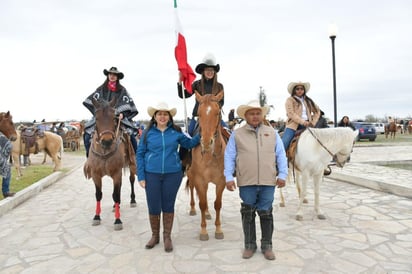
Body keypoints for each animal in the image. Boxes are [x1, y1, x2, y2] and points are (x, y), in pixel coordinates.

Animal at [83, 97, 138, 230]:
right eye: (97, 118)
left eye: (114, 118)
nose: (107, 141)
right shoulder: (96, 175)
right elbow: (99, 194)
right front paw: (96, 217)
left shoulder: (117, 173)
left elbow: (116, 195)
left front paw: (118, 220)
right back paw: (115, 206)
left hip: (132, 165)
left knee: (131, 180)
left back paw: (132, 200)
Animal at [186, 91, 225, 240]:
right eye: (199, 113)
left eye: (218, 112)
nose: (207, 142)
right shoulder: (199, 179)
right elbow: (202, 204)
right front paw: (203, 231)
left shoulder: (221, 181)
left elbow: (217, 204)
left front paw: (218, 229)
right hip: (191, 175)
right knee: (192, 189)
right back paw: (192, 208)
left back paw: (208, 213)